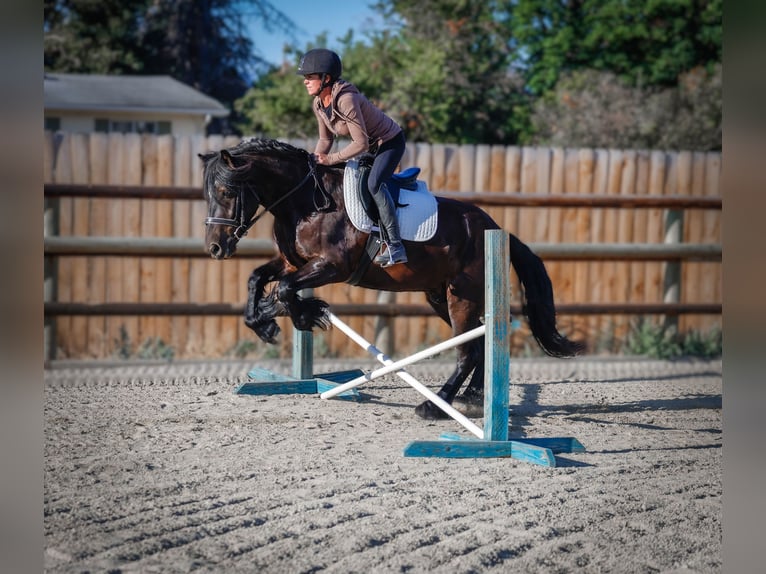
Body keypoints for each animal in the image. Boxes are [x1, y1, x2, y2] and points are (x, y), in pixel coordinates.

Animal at [200, 138, 584, 419]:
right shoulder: (292, 263)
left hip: (462, 297)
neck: (305, 201)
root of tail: (493, 227)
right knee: (478, 344)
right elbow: (259, 280)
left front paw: (306, 316)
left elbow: (283, 290)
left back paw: (436, 405)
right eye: (208, 195)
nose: (216, 248)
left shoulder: (331, 266)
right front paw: (265, 322)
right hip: (440, 297)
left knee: (468, 351)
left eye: (228, 192)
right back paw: (473, 398)